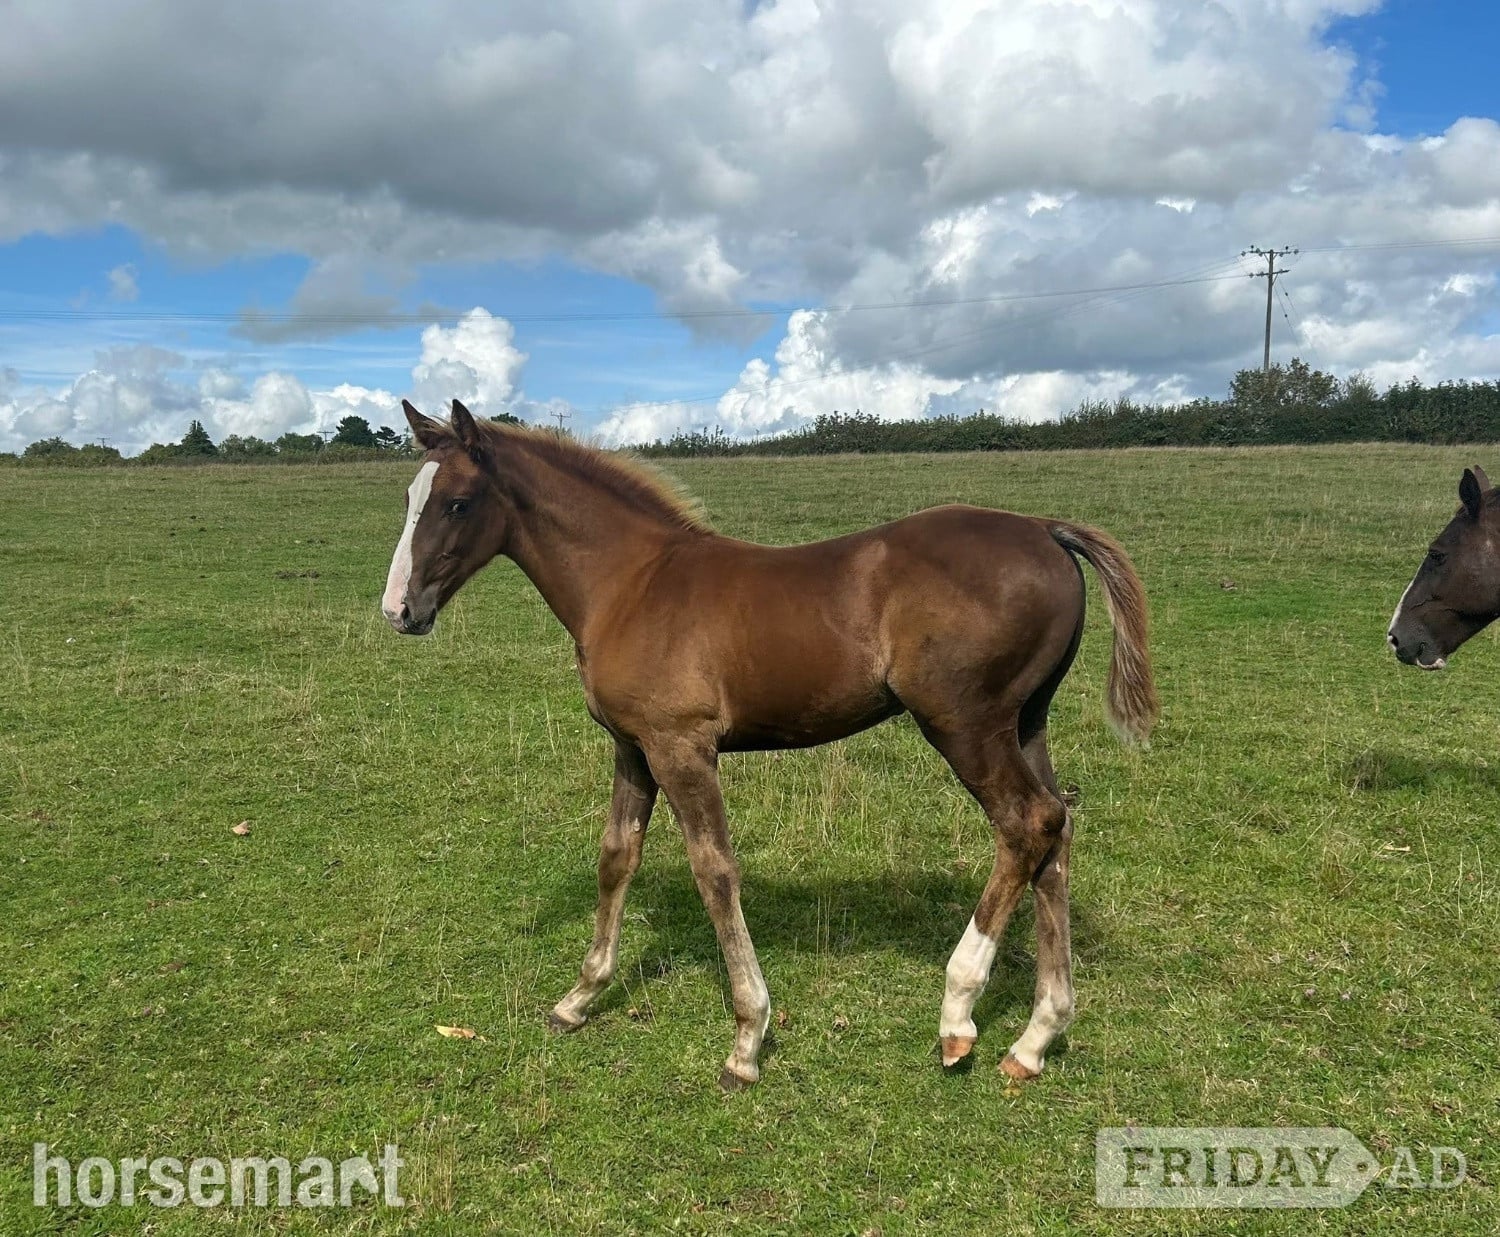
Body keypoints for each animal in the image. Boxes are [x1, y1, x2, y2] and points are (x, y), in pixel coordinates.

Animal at [381, 399, 1158, 1090]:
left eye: (456, 503)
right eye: (411, 496)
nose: (399, 611)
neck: (631, 583)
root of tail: (1044, 528)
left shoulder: (681, 747)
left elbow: (715, 871)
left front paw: (747, 1039)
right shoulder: (633, 748)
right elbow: (616, 858)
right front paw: (579, 998)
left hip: (965, 724)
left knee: (1025, 824)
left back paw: (957, 1012)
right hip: (1026, 722)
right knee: (1055, 831)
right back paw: (1035, 1037)